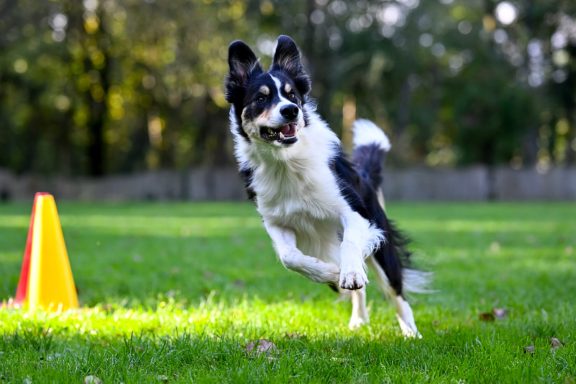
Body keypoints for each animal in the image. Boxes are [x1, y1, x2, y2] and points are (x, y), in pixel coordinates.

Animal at [225, 34, 428, 338]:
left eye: (292, 95)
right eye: (261, 97)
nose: (291, 110)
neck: (287, 163)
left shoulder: (355, 213)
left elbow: (351, 245)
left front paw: (349, 272)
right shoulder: (276, 221)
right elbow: (290, 257)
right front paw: (331, 273)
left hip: (381, 243)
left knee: (396, 292)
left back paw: (411, 333)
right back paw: (358, 319)